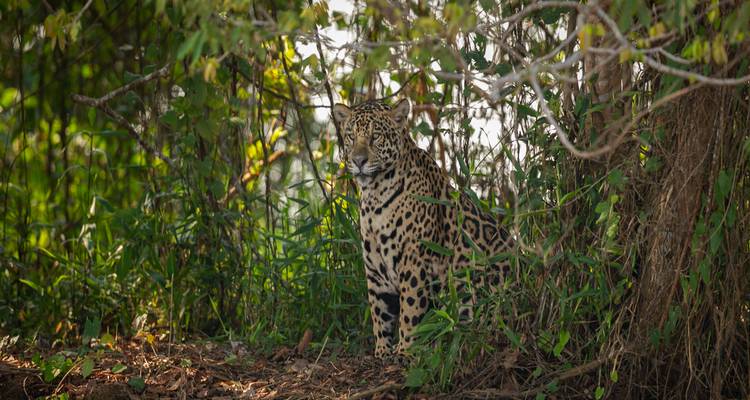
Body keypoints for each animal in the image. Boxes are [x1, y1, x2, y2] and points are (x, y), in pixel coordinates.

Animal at [332, 99, 513, 360]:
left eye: (375, 137)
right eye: (350, 136)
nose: (358, 161)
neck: (374, 194)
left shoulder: (414, 260)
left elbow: (410, 309)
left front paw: (406, 351)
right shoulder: (375, 267)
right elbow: (379, 311)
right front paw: (382, 350)